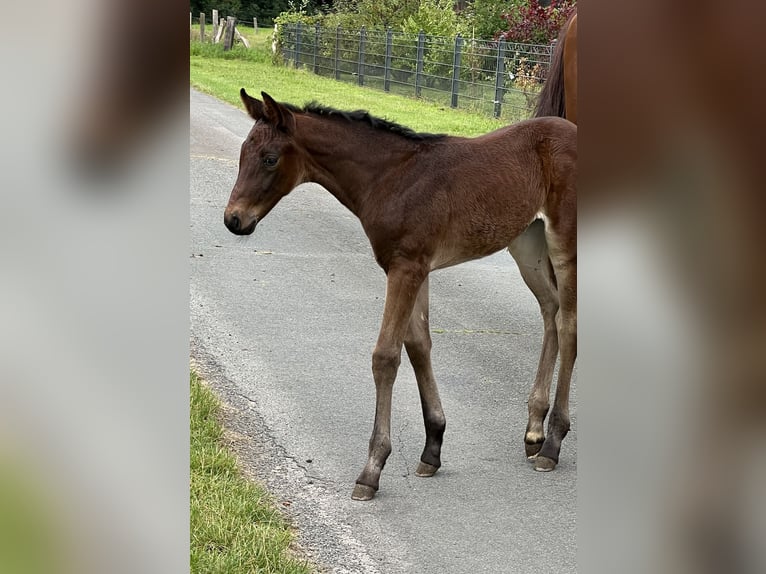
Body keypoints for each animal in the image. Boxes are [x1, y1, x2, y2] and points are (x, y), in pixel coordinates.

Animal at [225, 89, 580, 500]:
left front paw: (372, 468)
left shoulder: (406, 268)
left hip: (563, 241)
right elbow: (419, 346)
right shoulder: (415, 268)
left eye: (270, 159)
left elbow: (386, 356)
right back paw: (534, 430)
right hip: (527, 242)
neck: (390, 178)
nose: (233, 220)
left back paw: (552, 443)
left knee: (568, 325)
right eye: (242, 154)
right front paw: (433, 448)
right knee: (551, 310)